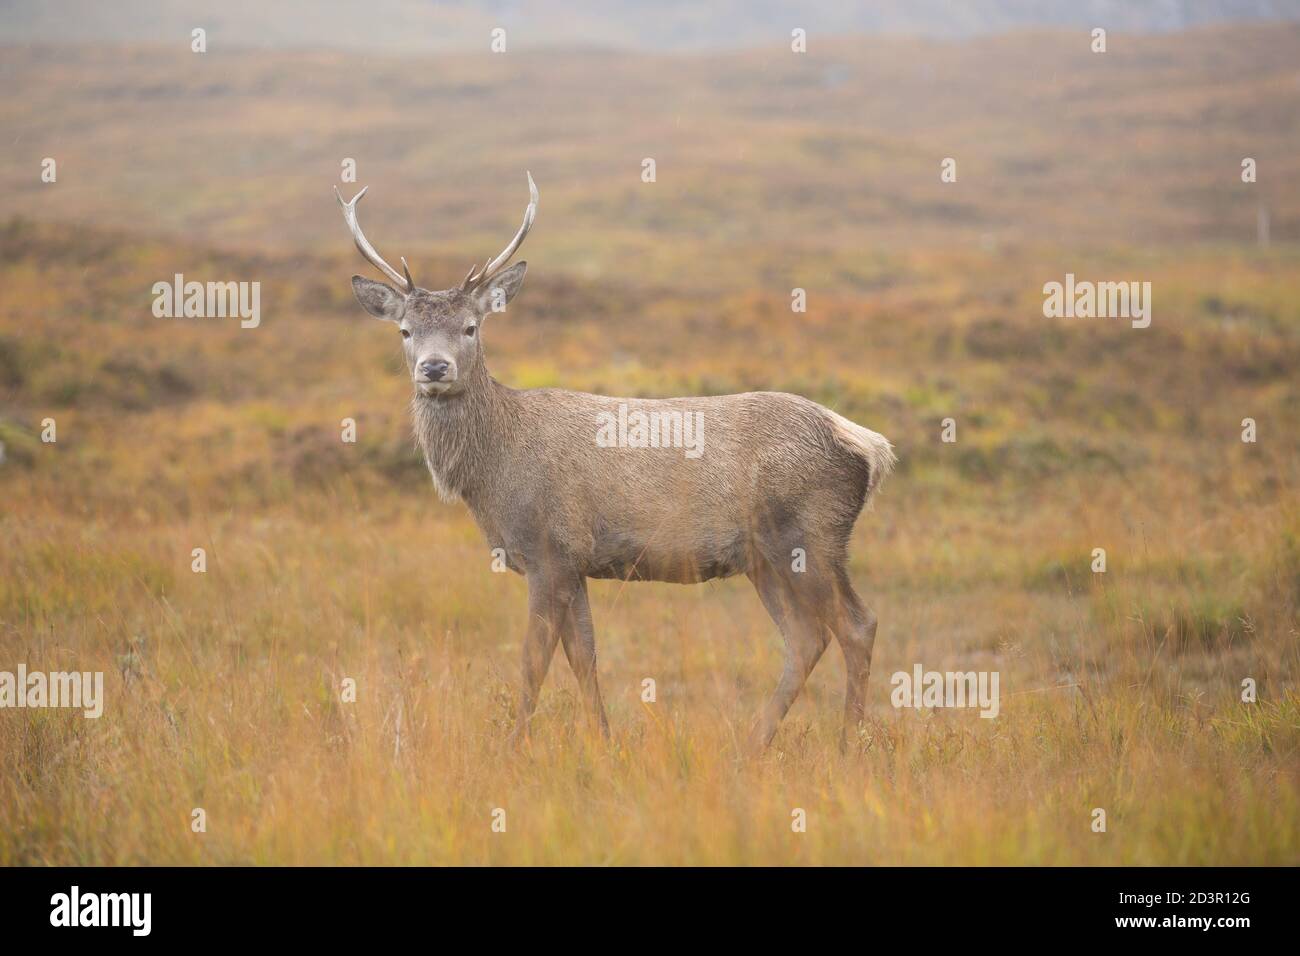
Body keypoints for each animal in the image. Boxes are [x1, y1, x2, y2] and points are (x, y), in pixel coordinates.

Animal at [335, 174, 896, 752]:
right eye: (405, 331)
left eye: (471, 327)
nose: (434, 367)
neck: (494, 474)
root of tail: (871, 447)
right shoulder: (575, 561)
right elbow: (584, 656)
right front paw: (603, 740)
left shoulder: (550, 549)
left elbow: (533, 661)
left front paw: (513, 747)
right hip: (763, 557)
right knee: (806, 639)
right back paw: (752, 745)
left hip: (812, 534)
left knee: (857, 625)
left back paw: (848, 744)